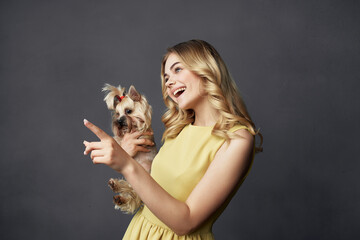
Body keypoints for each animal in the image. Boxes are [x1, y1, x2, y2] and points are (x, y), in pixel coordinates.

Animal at [102, 84, 157, 214]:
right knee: (130, 193)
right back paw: (116, 190)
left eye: (128, 111)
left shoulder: (144, 134)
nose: (119, 122)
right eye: (117, 113)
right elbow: (119, 138)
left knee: (134, 196)